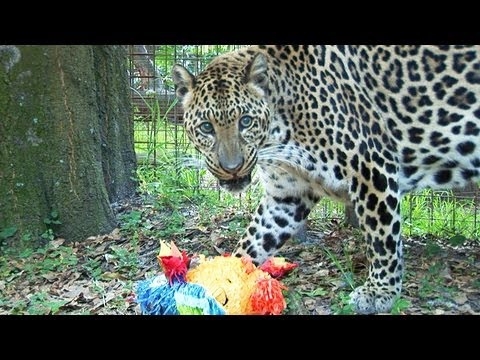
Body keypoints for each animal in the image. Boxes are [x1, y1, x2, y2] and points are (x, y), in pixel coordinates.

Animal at [172, 45, 480, 314]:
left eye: (245, 121)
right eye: (206, 127)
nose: (232, 168)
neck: (280, 131)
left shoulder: (372, 166)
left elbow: (382, 238)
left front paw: (380, 292)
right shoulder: (286, 196)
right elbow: (253, 241)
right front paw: (225, 277)